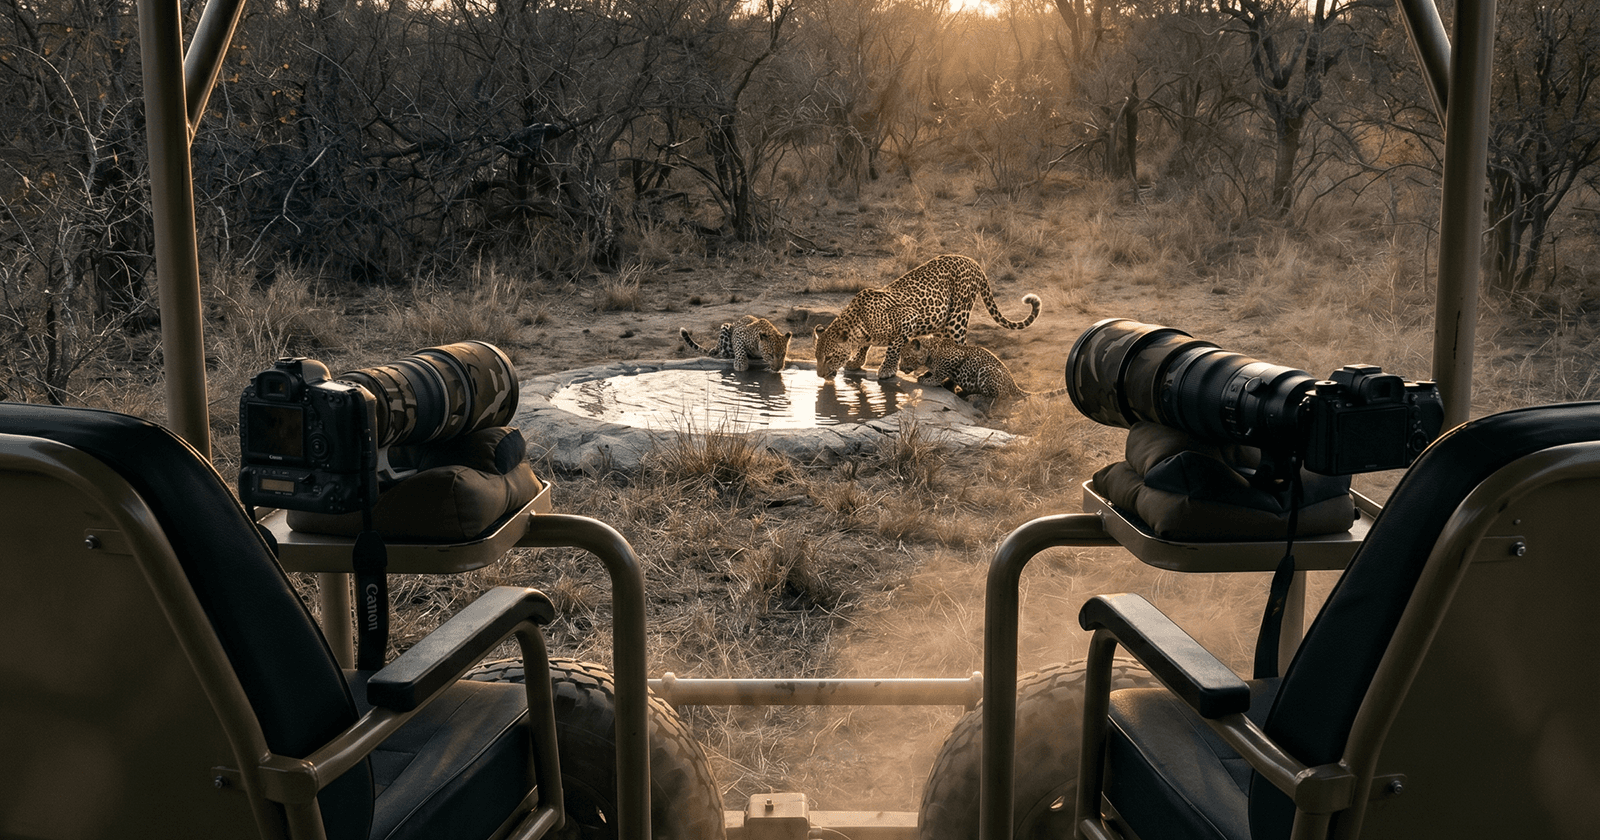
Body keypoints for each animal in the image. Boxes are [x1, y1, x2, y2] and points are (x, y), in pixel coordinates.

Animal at [813, 254, 1041, 380]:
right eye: (816, 357)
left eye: (830, 357)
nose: (820, 375)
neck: (859, 323)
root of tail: (972, 261)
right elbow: (864, 346)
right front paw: (856, 362)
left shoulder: (908, 318)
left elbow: (893, 347)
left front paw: (887, 370)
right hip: (942, 323)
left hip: (957, 317)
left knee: (960, 345)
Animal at [898, 335, 1067, 409]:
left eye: (906, 357)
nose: (899, 367)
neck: (930, 351)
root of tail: (1013, 383)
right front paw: (925, 374)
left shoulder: (954, 359)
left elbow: (939, 373)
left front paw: (927, 380)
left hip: (986, 370)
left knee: (999, 397)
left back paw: (972, 397)